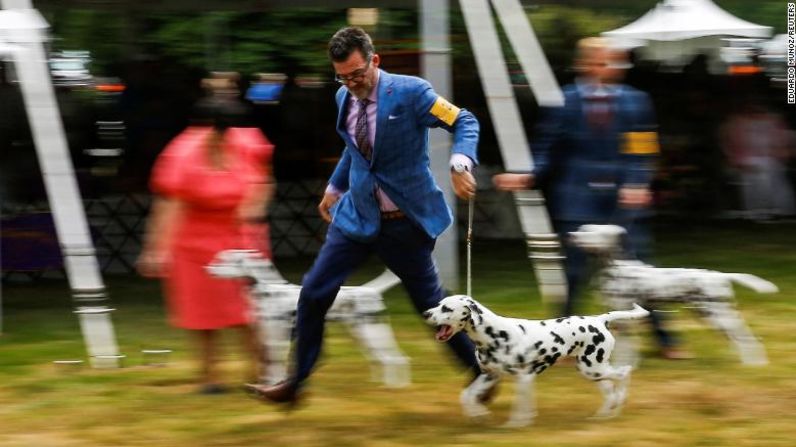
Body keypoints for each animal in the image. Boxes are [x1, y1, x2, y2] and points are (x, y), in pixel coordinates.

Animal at [207, 248, 410, 388]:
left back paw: (395, 388)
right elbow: (269, 366)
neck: (266, 293)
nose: (207, 268)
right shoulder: (267, 338)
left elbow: (277, 367)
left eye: (225, 261)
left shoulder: (278, 340)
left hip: (374, 332)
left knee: (397, 359)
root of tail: (372, 290)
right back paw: (379, 385)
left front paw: (275, 387)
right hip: (362, 334)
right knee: (381, 359)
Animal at [422, 296, 648, 428]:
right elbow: (467, 396)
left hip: (594, 368)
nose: (425, 313)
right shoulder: (490, 376)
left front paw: (515, 425)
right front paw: (478, 414)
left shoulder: (523, 378)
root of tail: (599, 320)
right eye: (438, 305)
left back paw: (619, 403)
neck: (493, 335)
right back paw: (605, 414)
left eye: (446, 308)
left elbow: (518, 407)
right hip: (592, 371)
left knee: (625, 373)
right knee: (610, 390)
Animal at [568, 224, 780, 368]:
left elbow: (627, 349)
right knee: (736, 338)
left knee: (746, 337)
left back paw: (754, 365)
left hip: (718, 315)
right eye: (583, 228)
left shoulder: (626, 321)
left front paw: (624, 366)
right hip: (711, 316)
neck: (615, 269)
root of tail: (720, 275)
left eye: (595, 232)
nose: (571, 235)